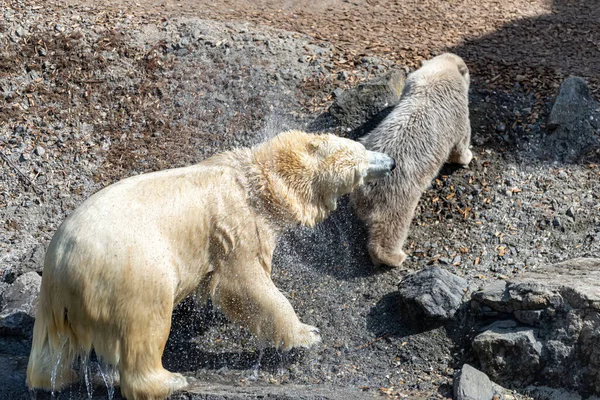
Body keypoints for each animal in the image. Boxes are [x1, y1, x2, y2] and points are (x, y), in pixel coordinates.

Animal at [28, 130, 396, 400]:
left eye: (363, 147)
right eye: (362, 157)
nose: (391, 162)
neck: (258, 178)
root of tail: (65, 265)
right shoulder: (237, 223)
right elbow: (243, 283)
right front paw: (307, 334)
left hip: (52, 300)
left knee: (49, 348)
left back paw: (60, 377)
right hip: (134, 272)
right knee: (146, 326)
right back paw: (170, 381)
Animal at [352, 51, 474, 268]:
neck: (436, 75)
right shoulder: (458, 110)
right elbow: (460, 142)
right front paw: (467, 156)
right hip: (397, 191)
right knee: (393, 224)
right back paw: (394, 257)